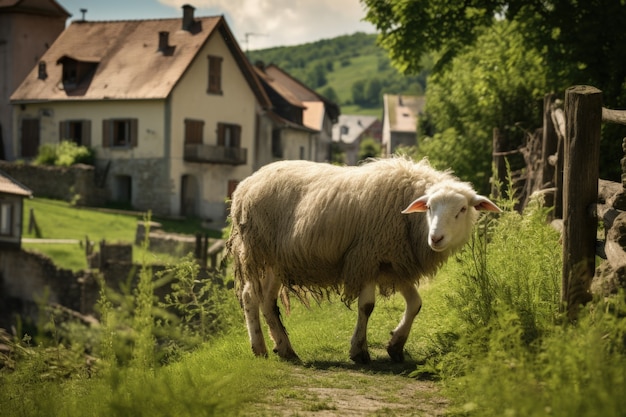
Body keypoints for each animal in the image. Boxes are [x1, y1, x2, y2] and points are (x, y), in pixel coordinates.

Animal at [227, 158, 500, 362]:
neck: (410, 220)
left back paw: (284, 348)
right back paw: (260, 347)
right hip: (257, 249)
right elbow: (367, 307)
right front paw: (359, 351)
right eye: (430, 207)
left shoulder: (393, 263)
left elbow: (416, 304)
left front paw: (396, 345)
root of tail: (245, 185)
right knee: (251, 297)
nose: (436, 238)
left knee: (265, 300)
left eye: (462, 209)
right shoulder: (367, 256)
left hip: (276, 261)